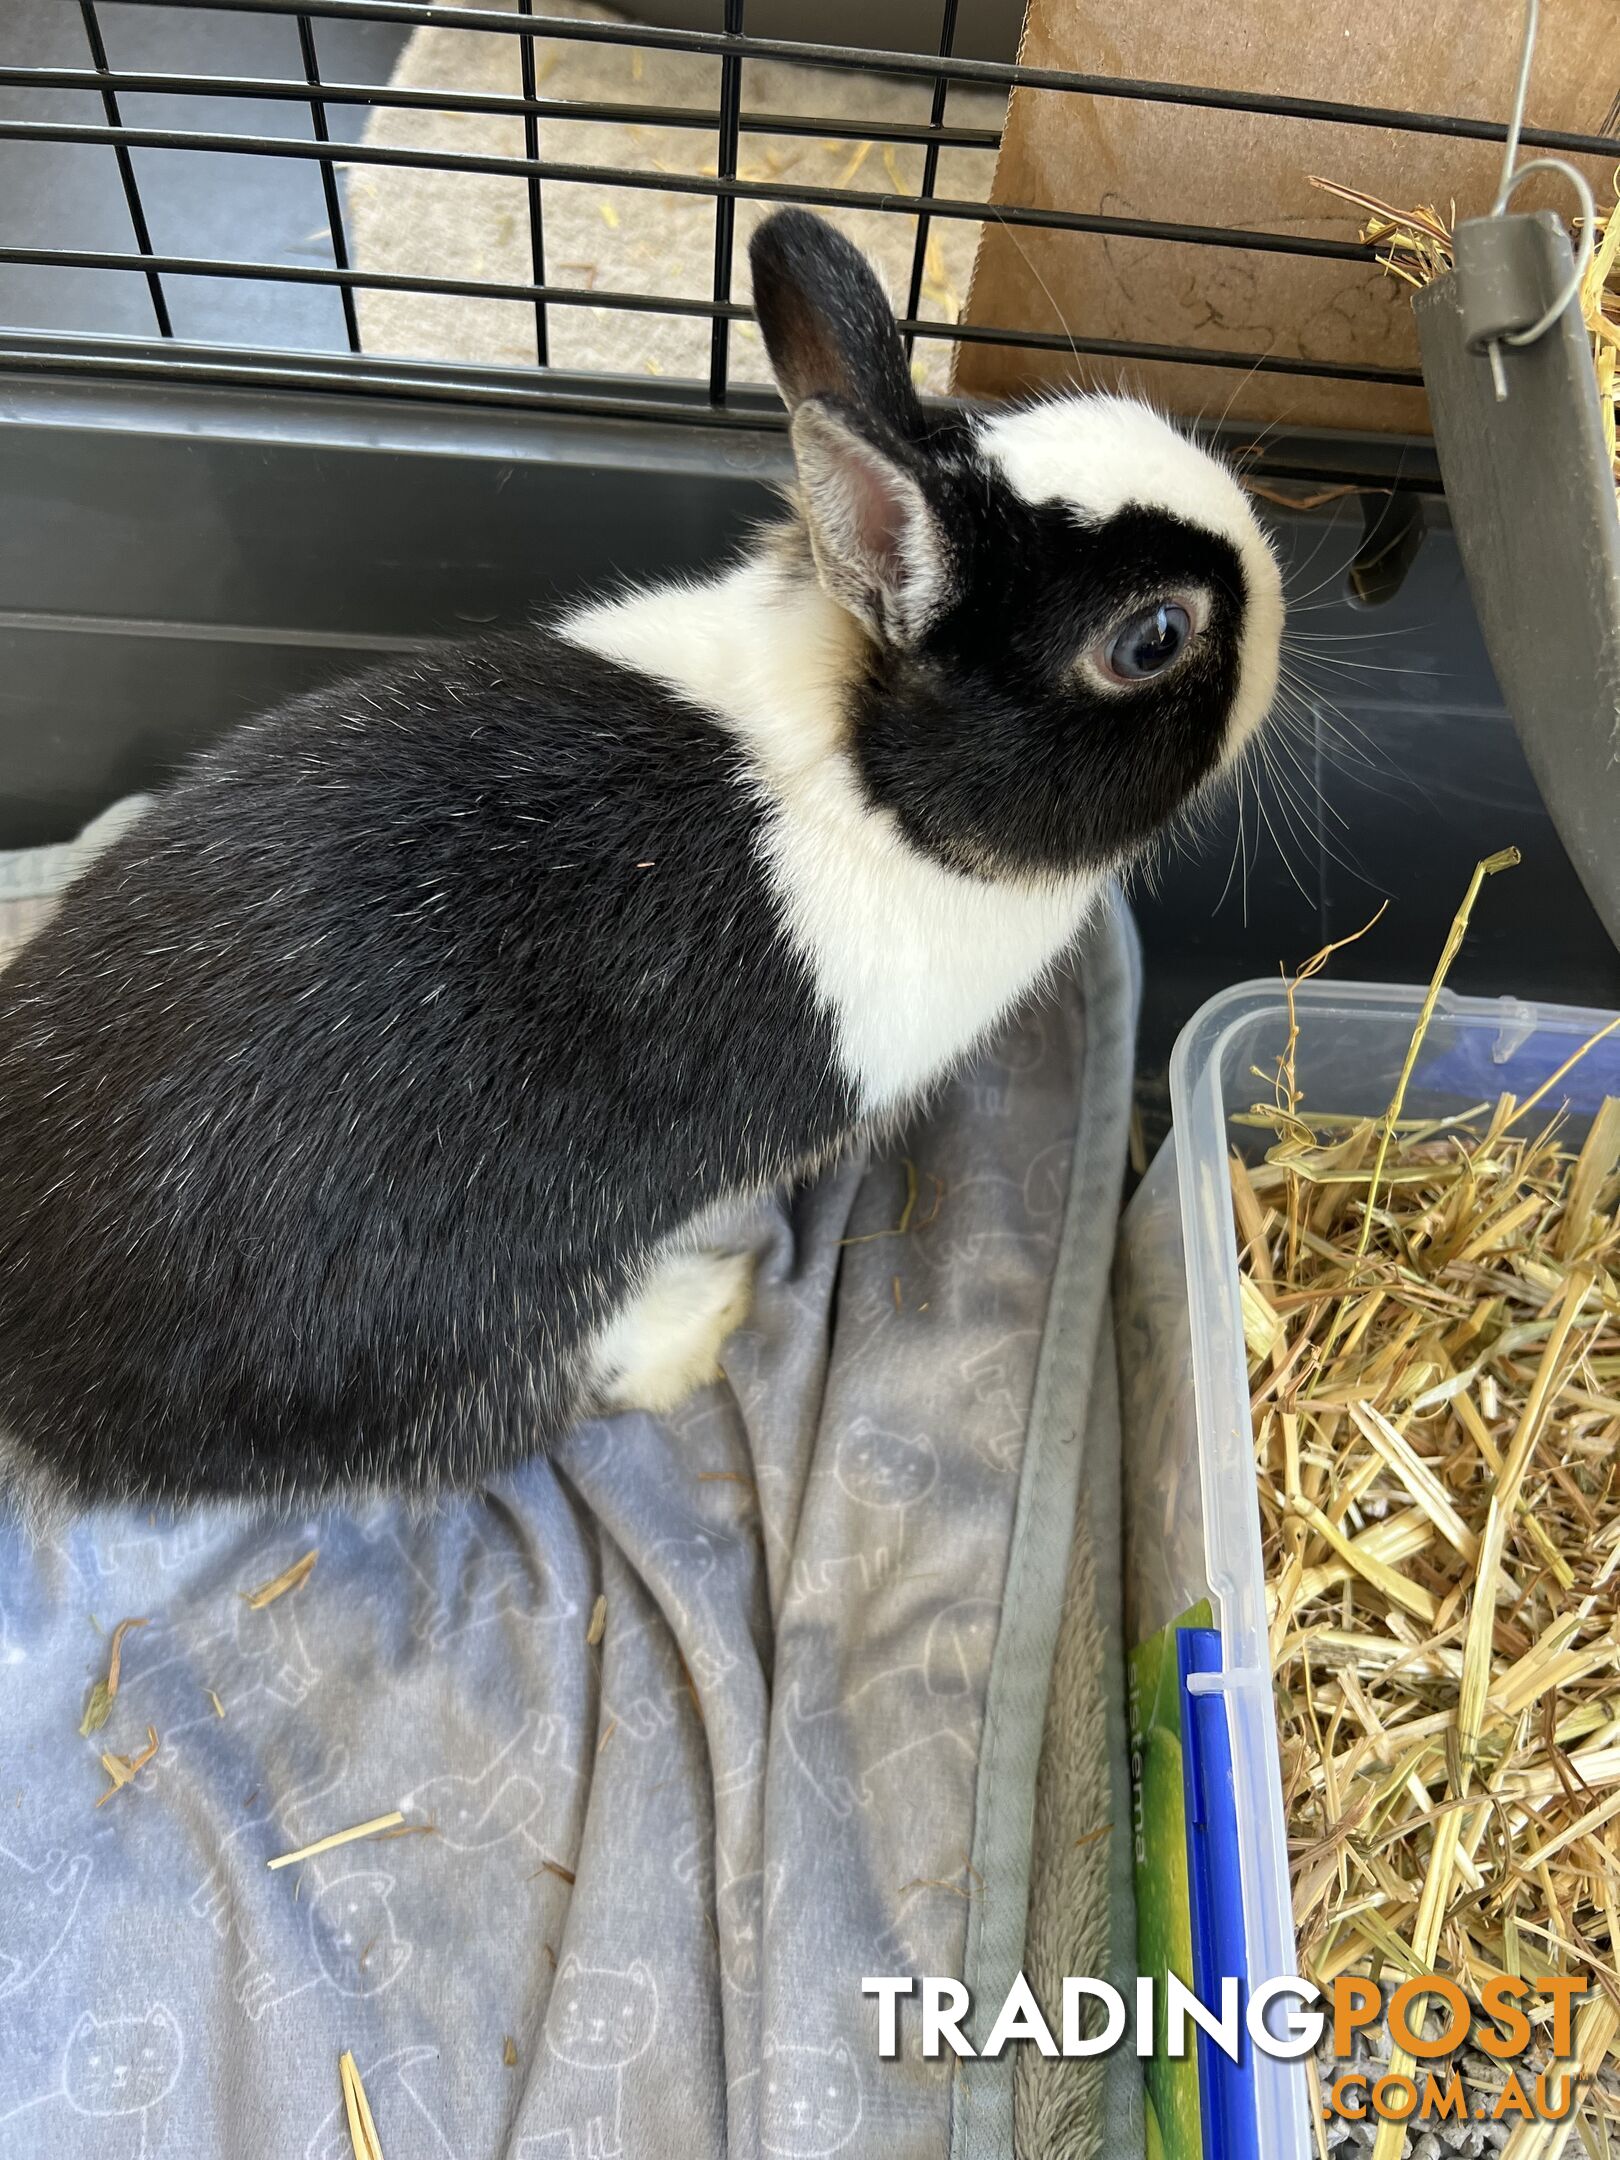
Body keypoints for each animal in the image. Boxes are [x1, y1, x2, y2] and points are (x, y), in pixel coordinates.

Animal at [0, 210, 1287, 1512]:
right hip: (460, 1326)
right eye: (1154, 637)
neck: (870, 774)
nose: (1274, 571)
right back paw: (705, 1311)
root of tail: (40, 1387)